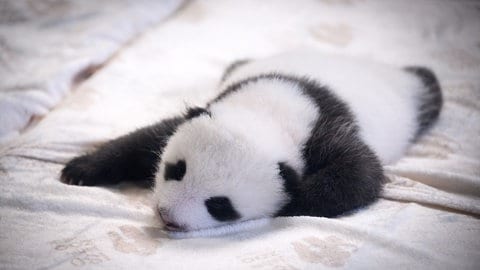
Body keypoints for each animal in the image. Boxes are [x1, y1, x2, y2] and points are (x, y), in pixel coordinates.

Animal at [61, 49, 442, 233]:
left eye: (220, 205)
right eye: (176, 170)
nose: (167, 216)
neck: (272, 109)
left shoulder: (326, 130)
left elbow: (361, 173)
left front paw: (291, 201)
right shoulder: (212, 104)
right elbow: (144, 139)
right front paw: (79, 169)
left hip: (410, 100)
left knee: (428, 88)